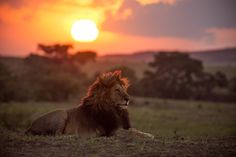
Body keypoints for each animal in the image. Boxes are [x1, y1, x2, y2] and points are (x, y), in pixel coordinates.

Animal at [24, 70, 154, 138]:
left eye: (124, 89)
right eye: (117, 90)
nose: (128, 99)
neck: (115, 110)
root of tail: (30, 126)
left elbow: (134, 129)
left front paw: (149, 134)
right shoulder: (110, 131)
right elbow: (131, 131)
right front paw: (150, 136)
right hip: (62, 113)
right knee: (57, 134)